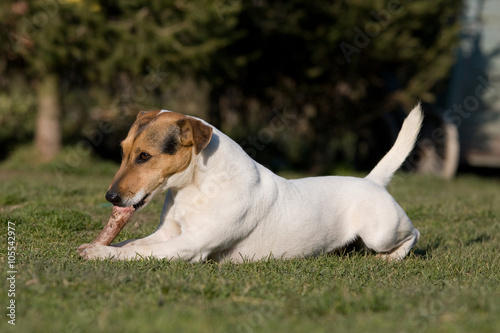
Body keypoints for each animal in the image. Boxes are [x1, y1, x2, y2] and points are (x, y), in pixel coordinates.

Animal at [80, 105, 424, 260]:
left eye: (144, 156)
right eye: (123, 151)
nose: (111, 198)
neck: (196, 188)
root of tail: (372, 181)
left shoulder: (191, 245)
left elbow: (133, 253)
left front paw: (99, 253)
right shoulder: (167, 233)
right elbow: (132, 243)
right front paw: (97, 244)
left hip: (380, 232)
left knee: (414, 234)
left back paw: (392, 258)